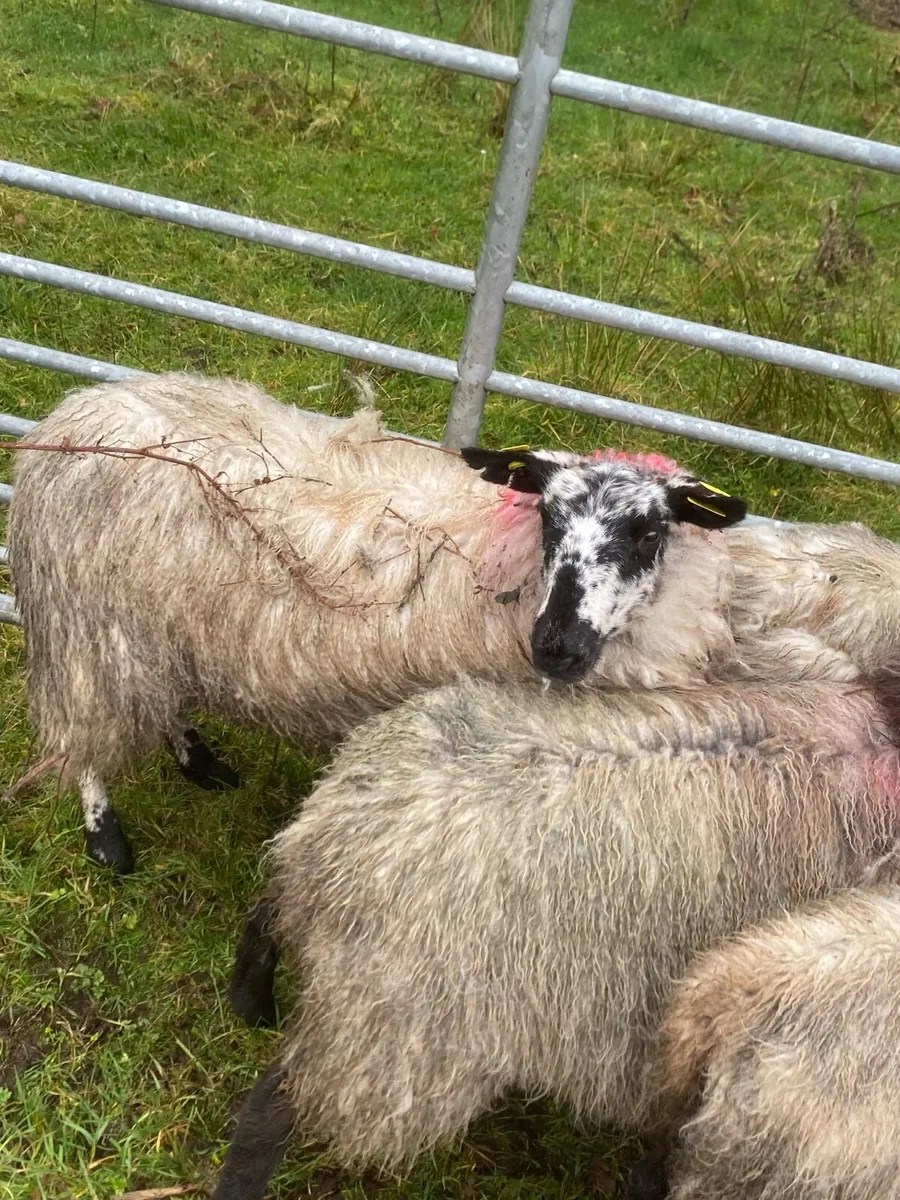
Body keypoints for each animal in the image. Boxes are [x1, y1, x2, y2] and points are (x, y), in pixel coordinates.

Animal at [8, 372, 747, 872]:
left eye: (649, 532)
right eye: (549, 517)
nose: (554, 647)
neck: (495, 555)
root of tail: (68, 415)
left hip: (159, 623)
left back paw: (201, 764)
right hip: (87, 623)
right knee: (86, 732)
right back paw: (106, 837)